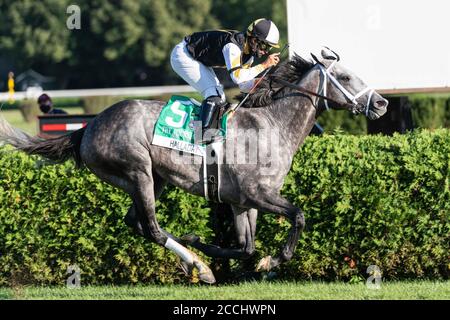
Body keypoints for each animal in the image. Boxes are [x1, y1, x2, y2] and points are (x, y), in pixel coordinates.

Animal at [0, 48, 386, 284]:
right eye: (346, 77)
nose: (381, 103)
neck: (271, 125)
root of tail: (89, 127)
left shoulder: (241, 201)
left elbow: (246, 246)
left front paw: (207, 243)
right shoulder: (258, 194)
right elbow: (299, 217)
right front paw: (271, 262)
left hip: (150, 180)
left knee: (137, 223)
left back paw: (196, 262)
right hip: (138, 171)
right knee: (152, 228)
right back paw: (200, 267)